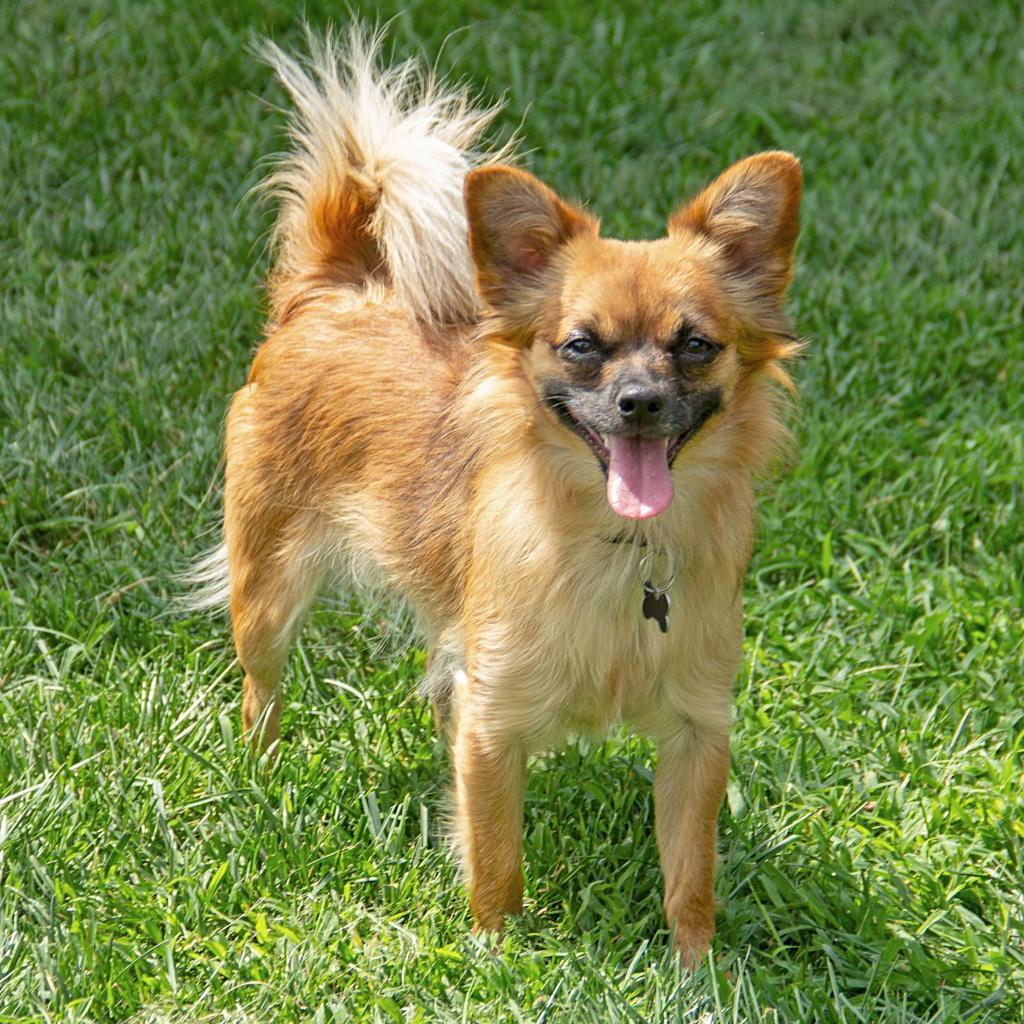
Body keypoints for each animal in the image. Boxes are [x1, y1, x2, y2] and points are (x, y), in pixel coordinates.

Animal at [192, 28, 798, 962]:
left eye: (695, 345)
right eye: (581, 346)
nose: (639, 401)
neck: (619, 550)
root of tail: (332, 287)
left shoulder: (698, 732)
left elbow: (690, 872)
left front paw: (699, 968)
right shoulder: (496, 720)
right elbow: (497, 855)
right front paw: (497, 954)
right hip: (266, 586)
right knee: (263, 687)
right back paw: (261, 771)